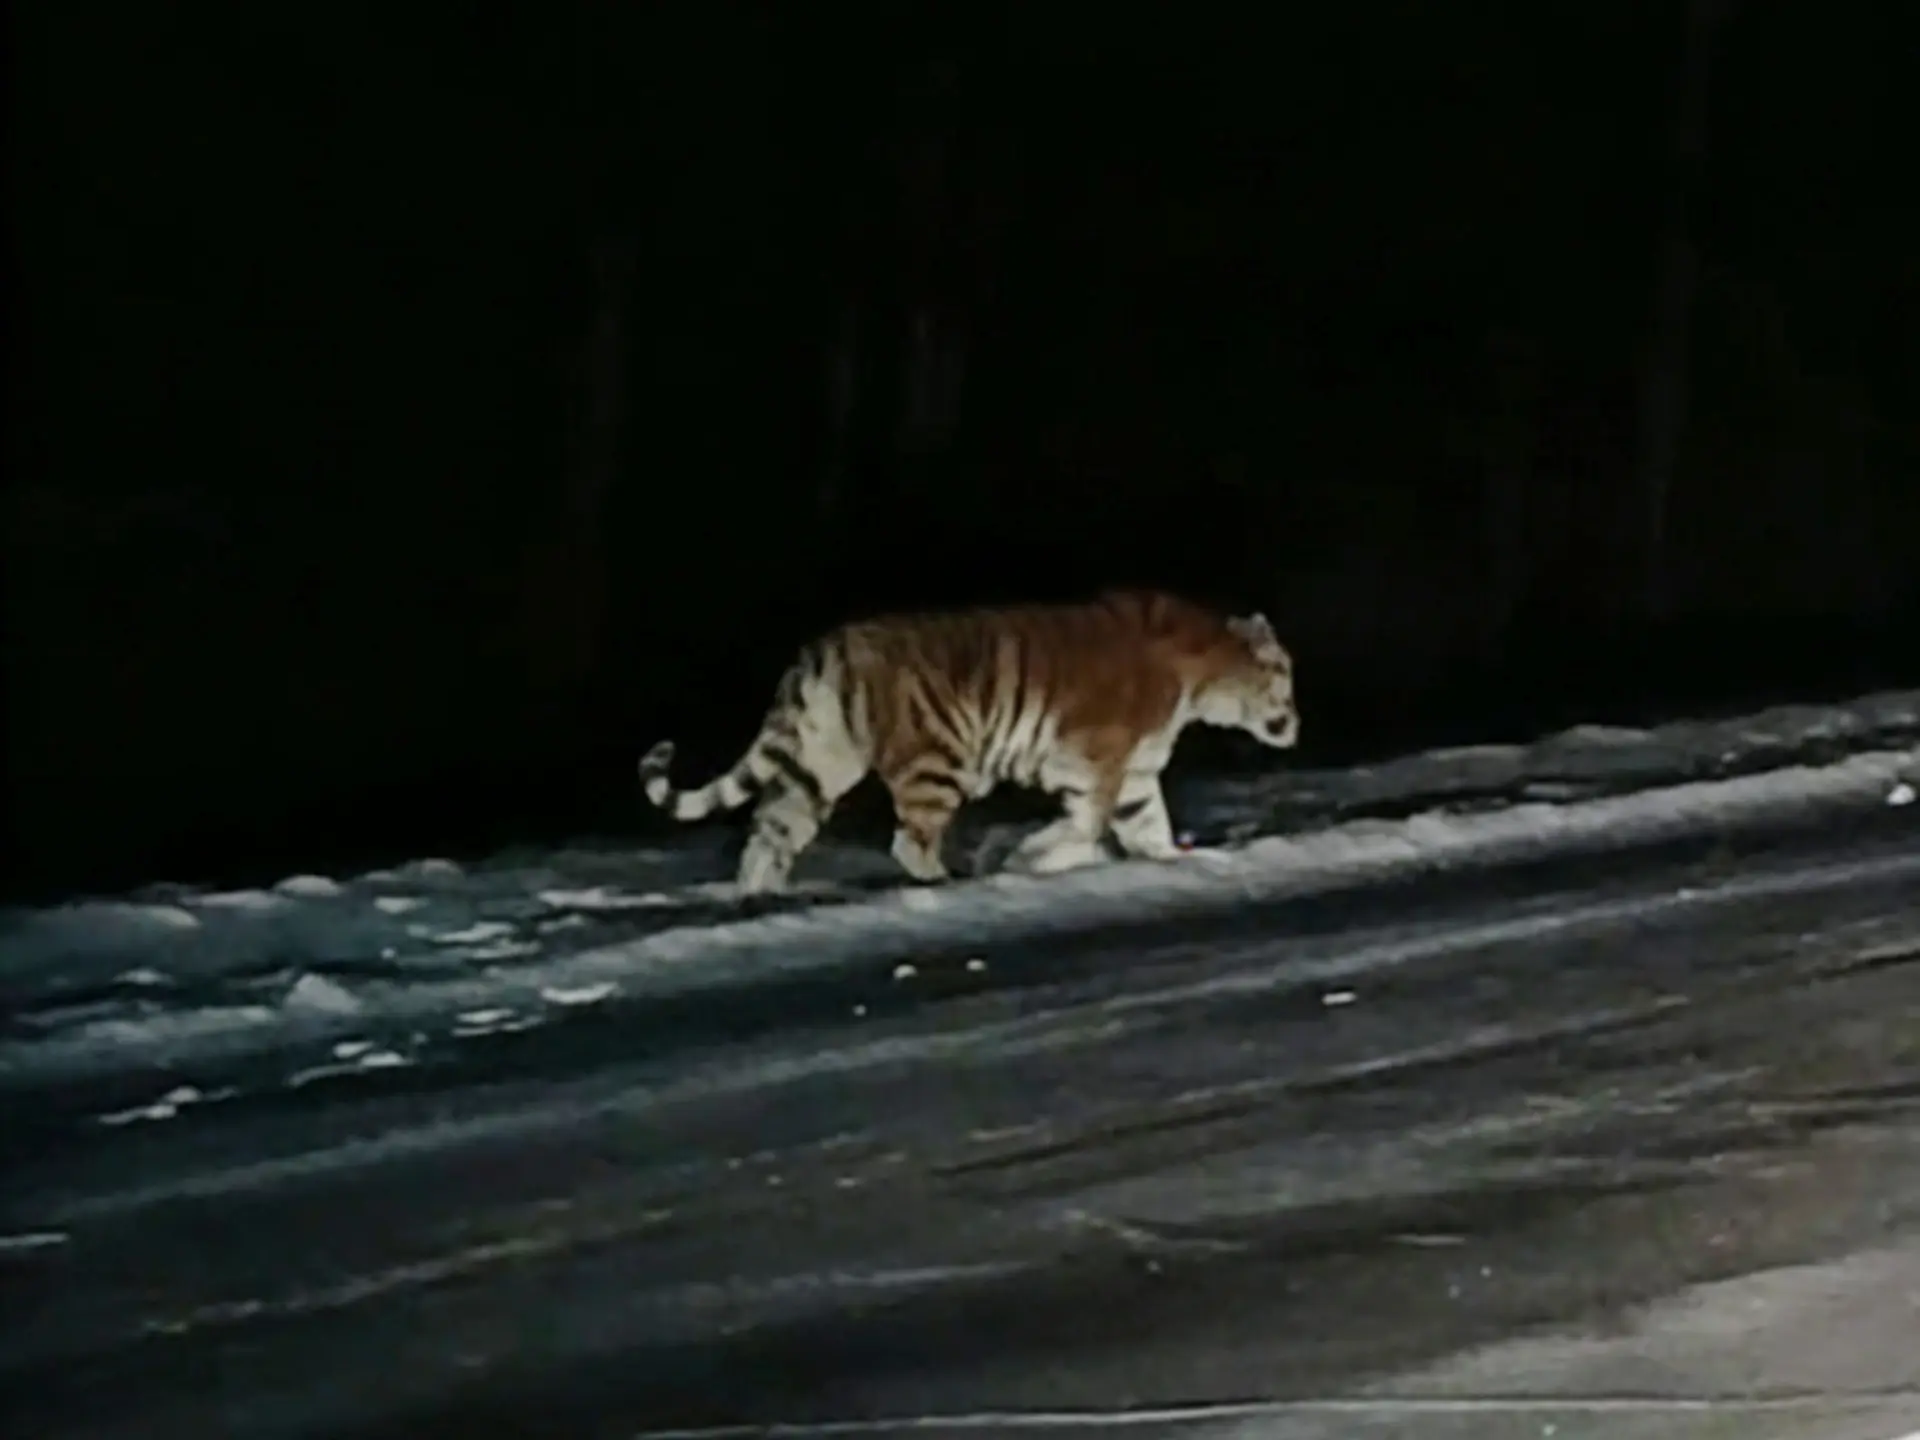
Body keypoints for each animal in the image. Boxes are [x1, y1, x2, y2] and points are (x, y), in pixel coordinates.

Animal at [637, 589, 1299, 894]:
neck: (1207, 676)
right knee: (909, 842)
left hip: (818, 764)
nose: (1297, 723)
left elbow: (1149, 827)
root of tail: (826, 648)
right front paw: (1033, 858)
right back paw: (945, 882)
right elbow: (1086, 823)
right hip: (937, 761)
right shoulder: (1096, 758)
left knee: (769, 834)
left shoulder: (1133, 773)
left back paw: (759, 896)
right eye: (1286, 678)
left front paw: (1173, 864)